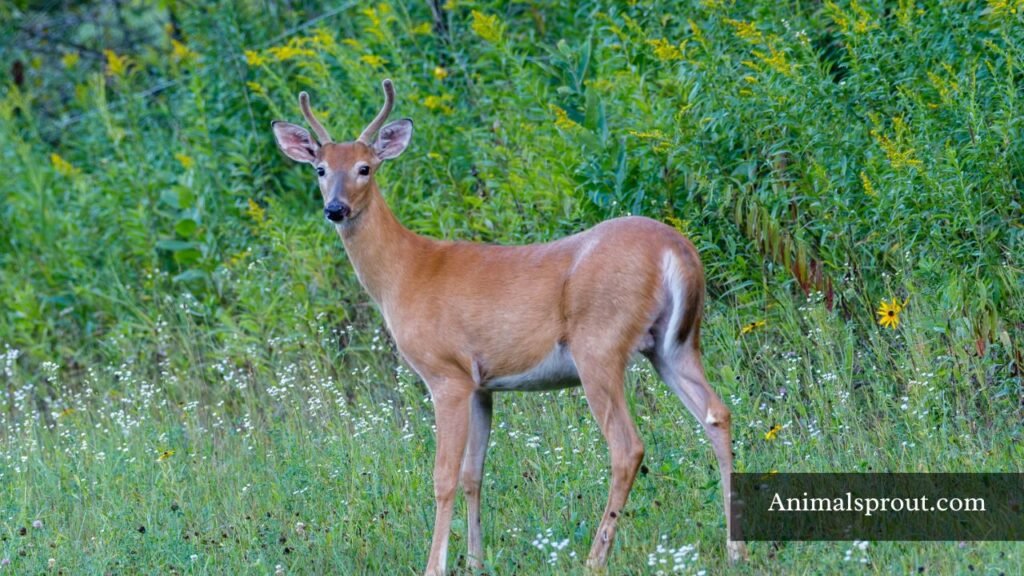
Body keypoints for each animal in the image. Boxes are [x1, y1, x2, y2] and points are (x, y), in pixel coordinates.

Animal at [271, 79, 747, 575]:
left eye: (365, 168)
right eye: (321, 169)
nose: (335, 208)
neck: (404, 273)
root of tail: (677, 250)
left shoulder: (447, 374)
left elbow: (443, 476)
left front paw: (435, 565)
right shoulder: (482, 385)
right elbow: (472, 474)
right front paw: (475, 560)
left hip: (599, 343)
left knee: (627, 446)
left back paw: (594, 557)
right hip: (674, 345)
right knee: (717, 414)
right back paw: (736, 549)